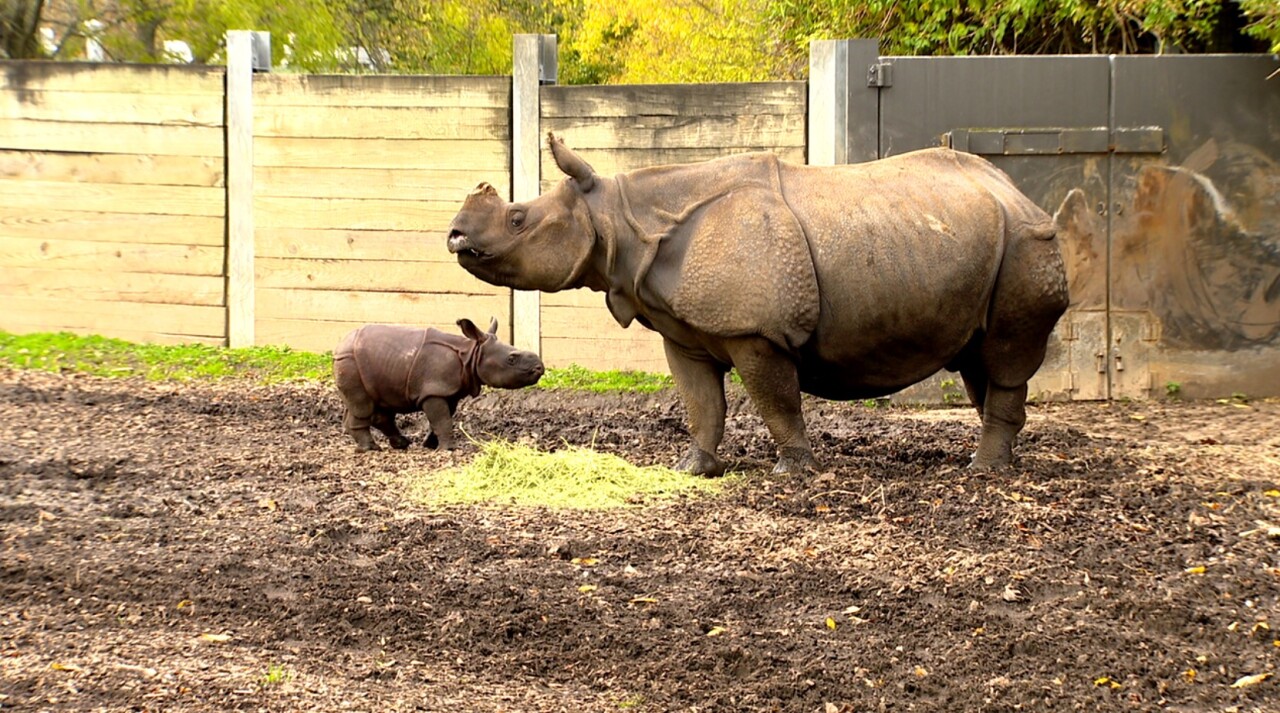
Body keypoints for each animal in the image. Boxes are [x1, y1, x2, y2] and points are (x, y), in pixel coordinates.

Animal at [333, 318, 544, 452]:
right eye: (511, 359)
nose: (540, 367)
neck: (471, 354)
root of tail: (339, 346)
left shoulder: (448, 391)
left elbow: (443, 417)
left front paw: (431, 444)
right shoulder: (434, 390)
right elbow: (442, 419)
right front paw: (448, 449)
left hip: (365, 365)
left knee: (375, 405)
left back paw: (401, 444)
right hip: (350, 361)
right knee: (362, 405)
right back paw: (371, 449)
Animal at [446, 134, 1069, 476]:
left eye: (517, 218)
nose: (454, 236)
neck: (621, 217)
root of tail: (1021, 193)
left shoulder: (755, 332)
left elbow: (776, 401)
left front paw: (791, 471)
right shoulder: (682, 333)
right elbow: (702, 403)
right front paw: (693, 469)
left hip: (1026, 243)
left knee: (1006, 353)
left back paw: (984, 471)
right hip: (972, 240)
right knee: (978, 360)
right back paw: (997, 462)